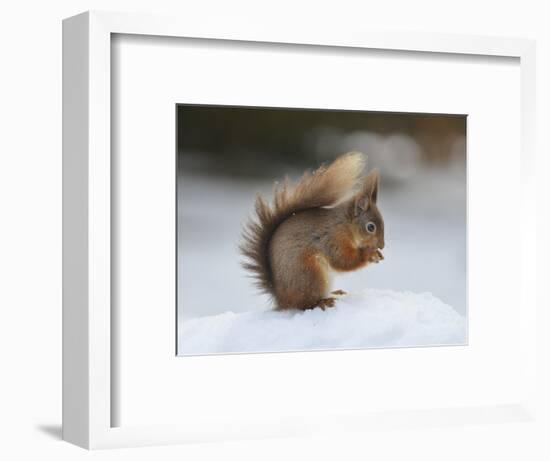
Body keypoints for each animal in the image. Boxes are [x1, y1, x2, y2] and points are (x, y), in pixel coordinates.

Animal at [239, 153, 386, 310]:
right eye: (371, 227)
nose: (382, 246)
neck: (345, 225)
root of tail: (281, 299)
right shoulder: (333, 238)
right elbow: (342, 260)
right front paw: (370, 254)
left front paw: (378, 254)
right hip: (310, 274)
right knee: (305, 303)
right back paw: (323, 301)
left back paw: (335, 293)